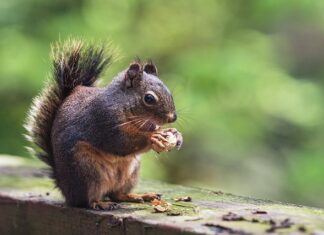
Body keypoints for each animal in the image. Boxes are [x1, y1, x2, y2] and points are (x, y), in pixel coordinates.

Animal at [25, 39, 182, 210]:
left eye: (170, 92)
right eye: (149, 98)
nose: (172, 118)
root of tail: (65, 191)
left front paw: (175, 134)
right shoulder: (103, 121)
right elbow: (121, 143)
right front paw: (153, 136)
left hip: (130, 173)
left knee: (117, 194)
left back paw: (139, 196)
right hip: (86, 171)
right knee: (86, 201)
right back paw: (100, 203)